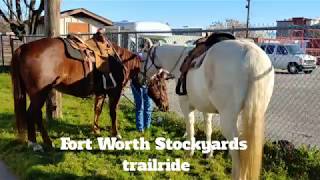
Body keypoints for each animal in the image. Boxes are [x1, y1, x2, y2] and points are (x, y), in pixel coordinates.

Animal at [10, 36, 169, 150]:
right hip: (39, 94)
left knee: (36, 114)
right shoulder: (114, 92)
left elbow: (98, 110)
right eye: (161, 85)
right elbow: (113, 113)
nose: (166, 106)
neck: (121, 62)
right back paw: (35, 143)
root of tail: (22, 48)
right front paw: (116, 134)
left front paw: (96, 130)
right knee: (32, 114)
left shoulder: (101, 93)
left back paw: (47, 142)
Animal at [144, 39, 274, 180]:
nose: (143, 76)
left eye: (144, 58)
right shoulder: (206, 109)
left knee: (237, 149)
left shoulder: (186, 106)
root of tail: (251, 54)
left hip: (228, 119)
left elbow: (190, 128)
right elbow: (208, 129)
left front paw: (190, 152)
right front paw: (209, 153)